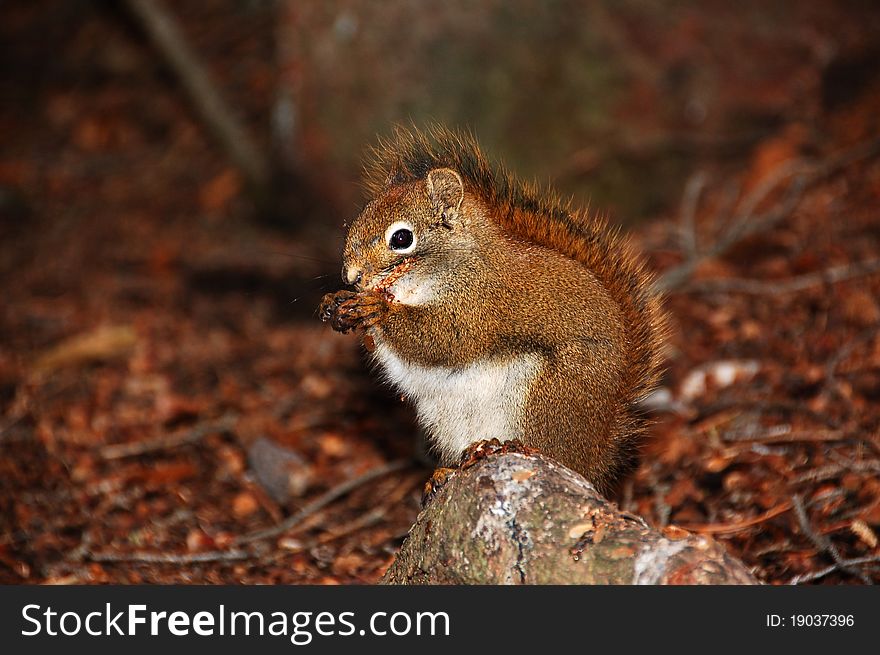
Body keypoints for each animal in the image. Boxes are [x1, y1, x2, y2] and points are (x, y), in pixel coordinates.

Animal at [324, 125, 668, 494]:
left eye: (401, 239)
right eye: (359, 219)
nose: (351, 276)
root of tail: (594, 459)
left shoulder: (480, 305)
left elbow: (444, 340)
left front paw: (377, 308)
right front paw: (335, 305)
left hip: (549, 397)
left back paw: (505, 447)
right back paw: (449, 470)